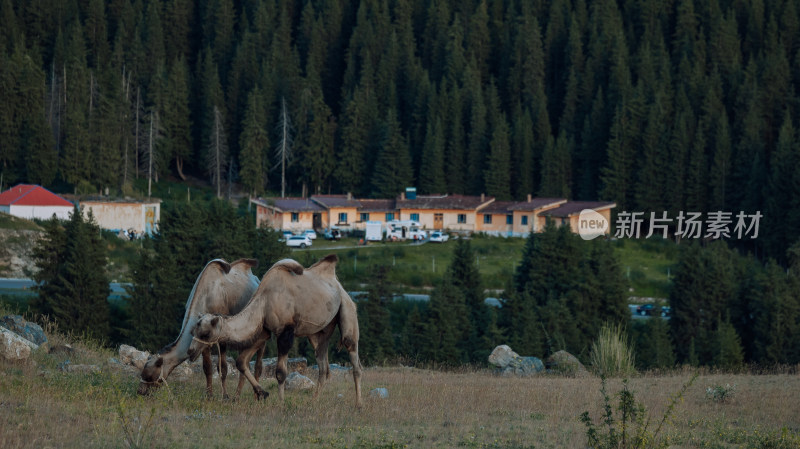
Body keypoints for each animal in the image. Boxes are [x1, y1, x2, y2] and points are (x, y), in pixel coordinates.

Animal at [139, 258, 270, 398]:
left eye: (149, 375)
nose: (141, 391)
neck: (205, 298)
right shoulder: (202, 340)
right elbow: (207, 367)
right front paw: (209, 396)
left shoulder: (221, 334)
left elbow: (223, 368)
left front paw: (225, 397)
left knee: (258, 364)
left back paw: (247, 396)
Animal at [188, 256, 362, 406]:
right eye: (193, 332)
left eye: (205, 334)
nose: (191, 351)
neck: (264, 301)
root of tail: (338, 285)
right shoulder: (264, 331)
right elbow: (241, 361)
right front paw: (263, 393)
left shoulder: (286, 332)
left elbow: (280, 372)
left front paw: (281, 403)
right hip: (319, 331)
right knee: (323, 364)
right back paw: (314, 401)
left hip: (347, 309)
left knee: (353, 354)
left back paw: (358, 405)